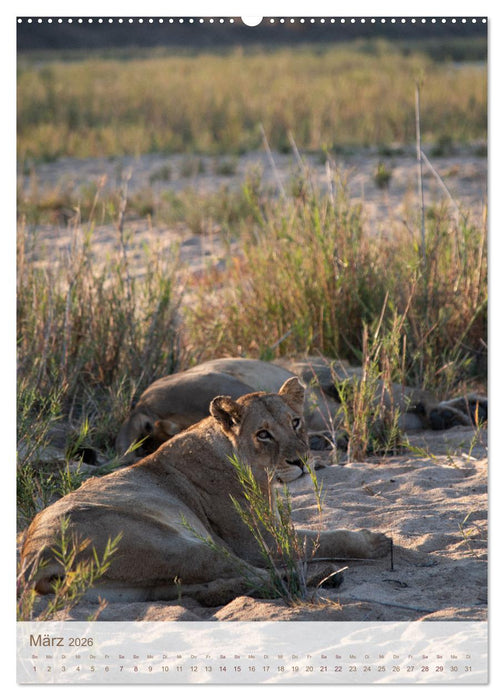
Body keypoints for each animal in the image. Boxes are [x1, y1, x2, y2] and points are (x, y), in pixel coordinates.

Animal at [20, 379, 391, 607]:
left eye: (295, 422)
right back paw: (324, 576)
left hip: (141, 585)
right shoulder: (258, 542)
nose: (300, 461)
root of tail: (33, 555)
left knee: (214, 586)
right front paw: (374, 542)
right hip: (174, 544)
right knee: (256, 574)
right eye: (263, 434)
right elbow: (323, 539)